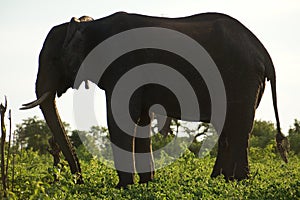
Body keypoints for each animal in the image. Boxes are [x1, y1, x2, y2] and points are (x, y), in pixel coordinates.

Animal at [21, 12, 288, 188]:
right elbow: (140, 120)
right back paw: (220, 181)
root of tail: (264, 52)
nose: (79, 181)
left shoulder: (123, 64)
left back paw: (237, 182)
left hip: (241, 77)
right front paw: (146, 184)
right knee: (230, 128)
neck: (91, 25)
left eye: (53, 60)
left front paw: (124, 188)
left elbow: (119, 120)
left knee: (238, 128)